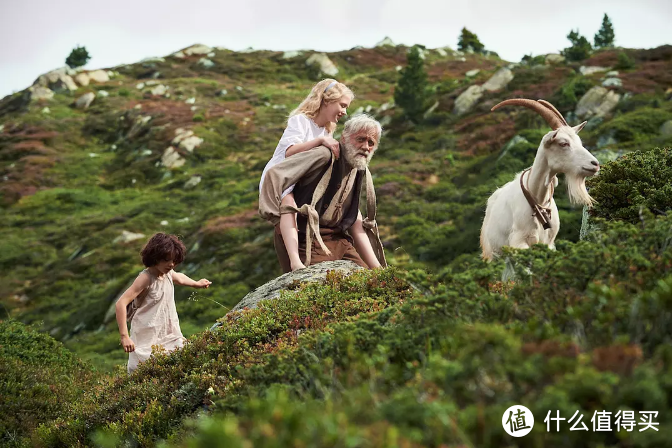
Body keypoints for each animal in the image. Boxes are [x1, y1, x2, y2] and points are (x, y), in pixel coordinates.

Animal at [480, 98, 600, 260]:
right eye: (563, 143)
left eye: (579, 142)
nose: (595, 164)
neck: (536, 200)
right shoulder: (518, 242)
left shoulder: (549, 244)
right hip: (492, 254)